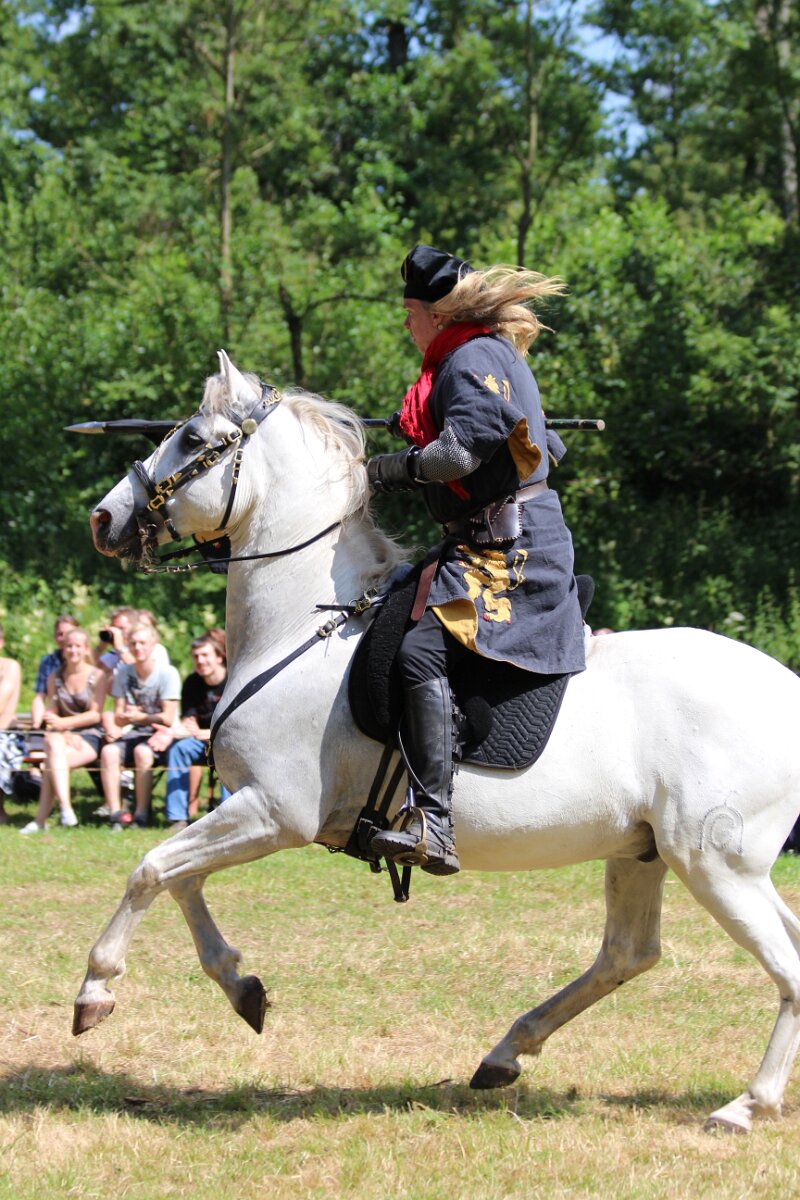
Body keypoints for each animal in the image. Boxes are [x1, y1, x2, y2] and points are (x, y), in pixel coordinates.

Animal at [75, 350, 800, 1134]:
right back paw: (508, 1053)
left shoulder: (272, 812)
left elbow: (151, 869)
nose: (104, 518)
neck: (305, 626)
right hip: (646, 854)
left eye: (192, 438)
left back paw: (747, 1105)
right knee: (628, 954)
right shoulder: (247, 810)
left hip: (716, 864)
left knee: (780, 968)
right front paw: (242, 987)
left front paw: (95, 989)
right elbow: (181, 879)